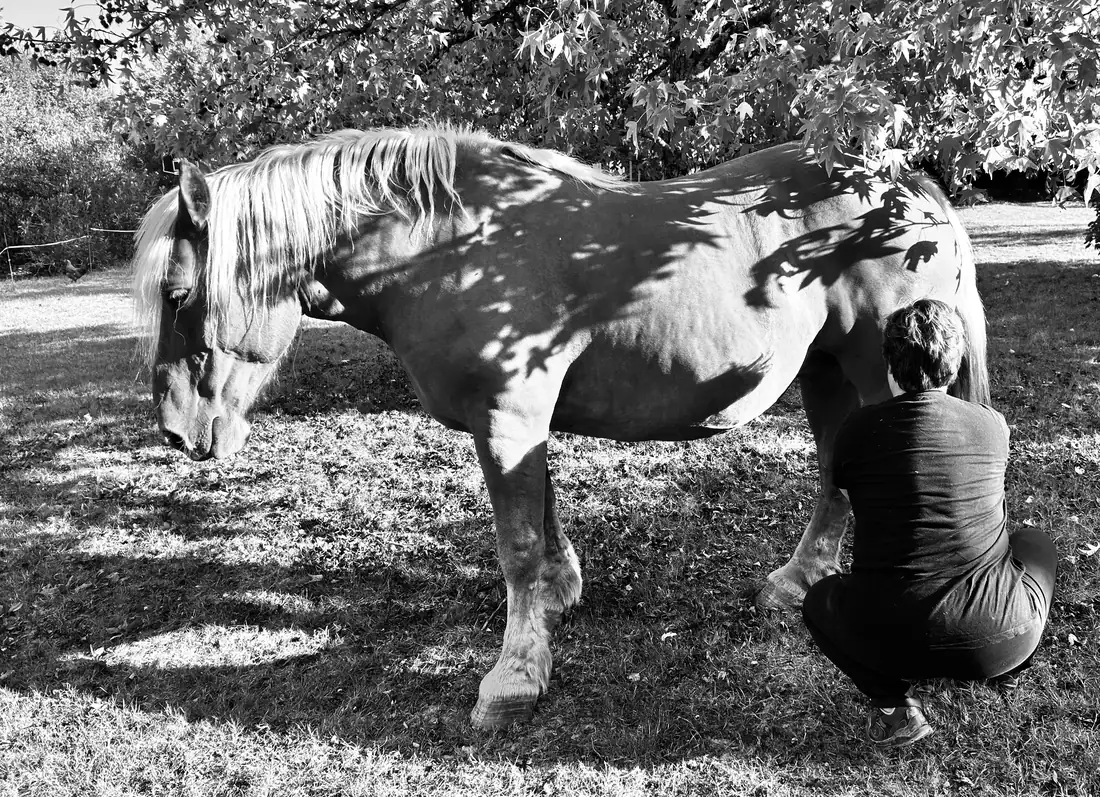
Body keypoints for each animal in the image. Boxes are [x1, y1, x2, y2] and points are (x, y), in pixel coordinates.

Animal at [133, 126, 990, 729]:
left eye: (177, 294)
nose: (176, 430)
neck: (453, 246)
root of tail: (904, 188)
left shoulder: (510, 419)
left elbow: (515, 546)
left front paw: (513, 678)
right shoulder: (516, 423)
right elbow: (541, 521)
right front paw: (557, 596)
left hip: (877, 372)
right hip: (826, 369)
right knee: (832, 475)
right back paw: (796, 580)